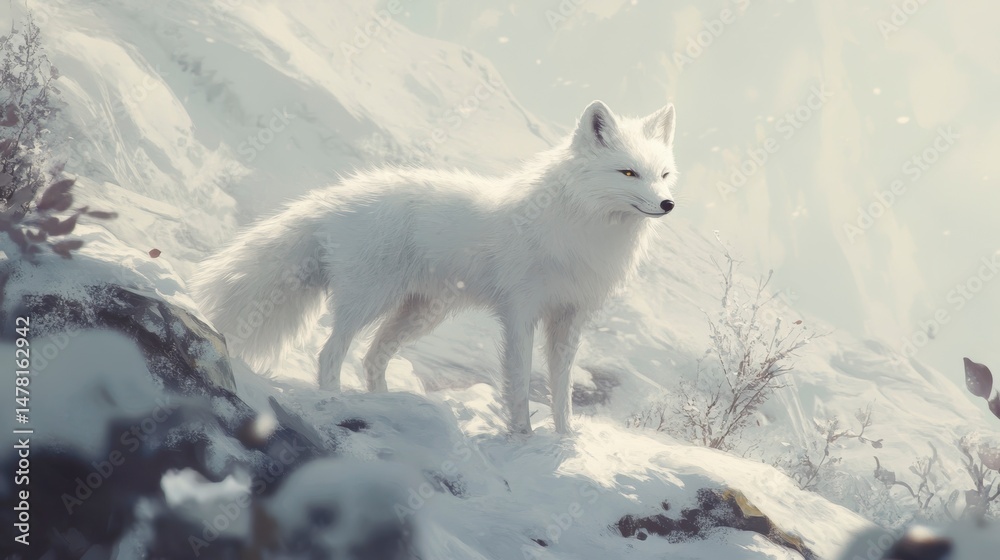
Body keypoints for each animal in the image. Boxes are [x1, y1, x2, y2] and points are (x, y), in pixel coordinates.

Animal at [190, 100, 678, 434]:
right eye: (628, 173)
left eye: (664, 175)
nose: (668, 205)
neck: (583, 228)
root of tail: (334, 199)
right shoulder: (521, 314)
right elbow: (521, 383)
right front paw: (522, 437)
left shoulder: (570, 317)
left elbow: (562, 392)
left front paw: (565, 441)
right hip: (368, 301)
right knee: (330, 352)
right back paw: (336, 401)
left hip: (421, 313)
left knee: (372, 358)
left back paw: (389, 409)